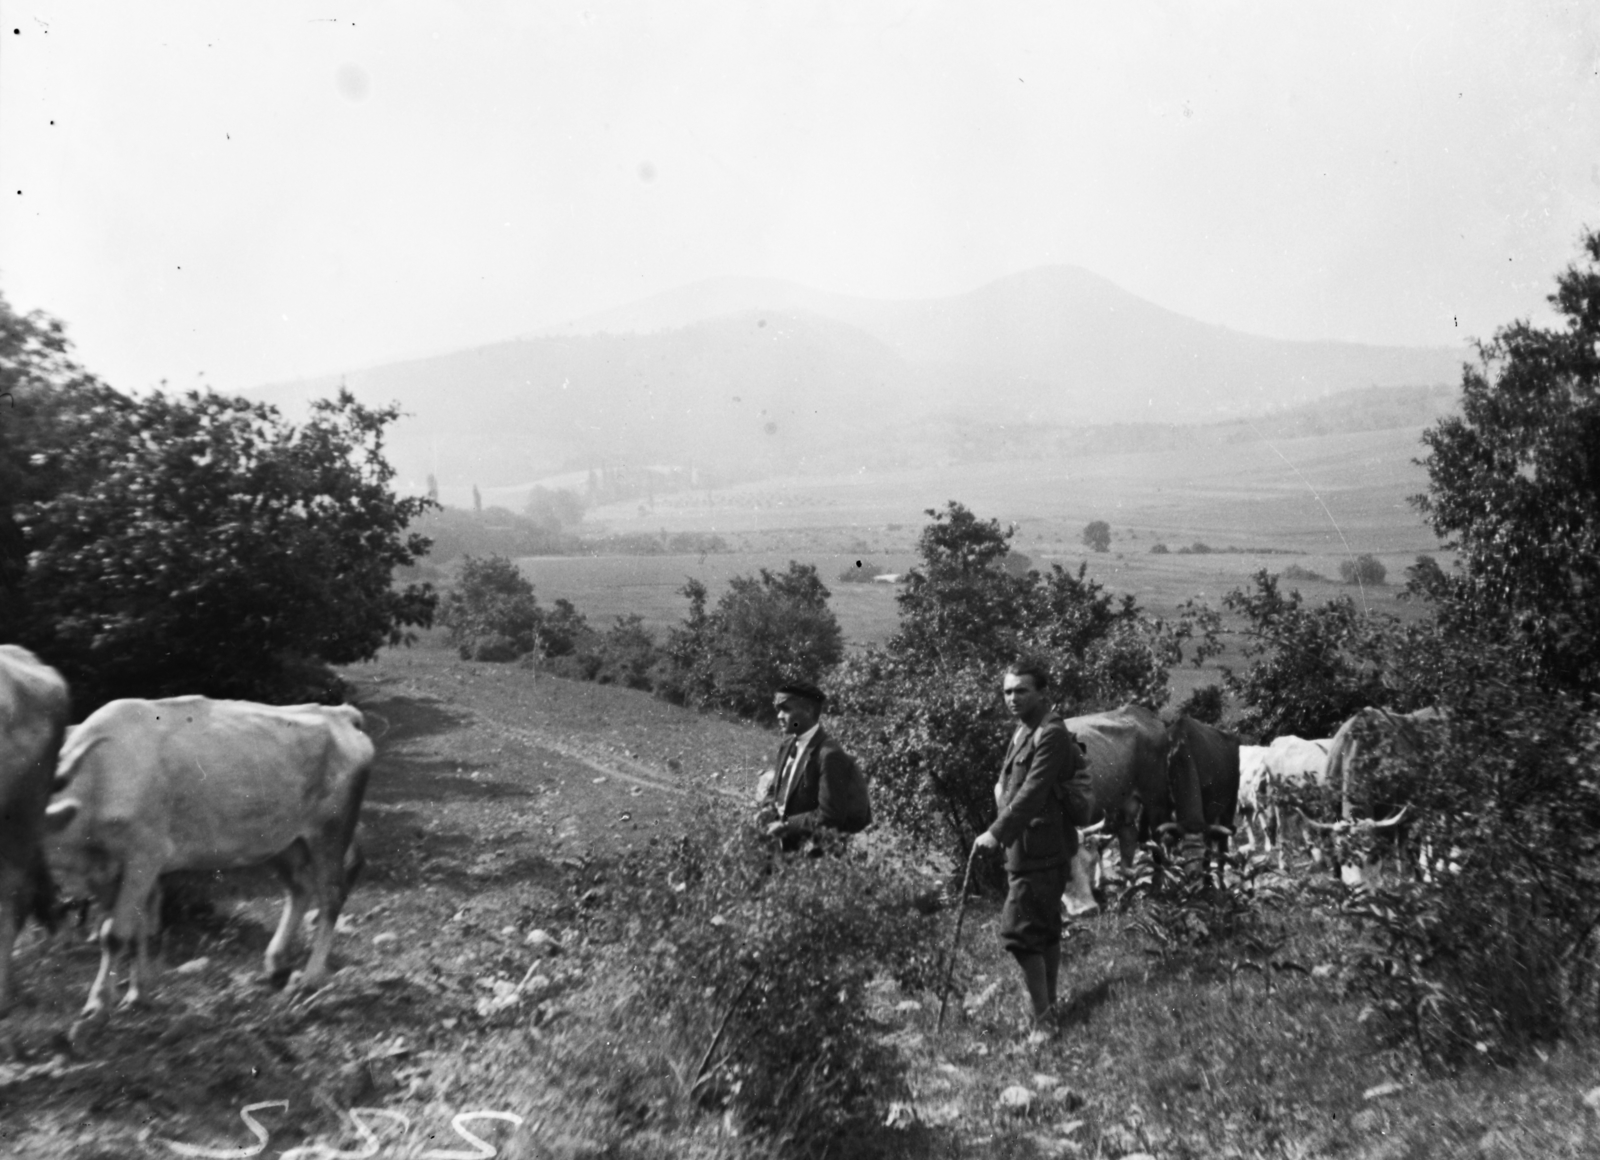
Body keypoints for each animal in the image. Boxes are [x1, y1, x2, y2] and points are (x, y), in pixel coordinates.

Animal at [47, 697, 374, 1011]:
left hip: (330, 831)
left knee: (331, 895)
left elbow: (114, 935)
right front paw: (137, 994)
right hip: (282, 840)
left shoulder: (144, 858)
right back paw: (275, 964)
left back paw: (310, 976)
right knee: (299, 888)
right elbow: (138, 928)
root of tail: (340, 714)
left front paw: (97, 1003)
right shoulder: (108, 872)